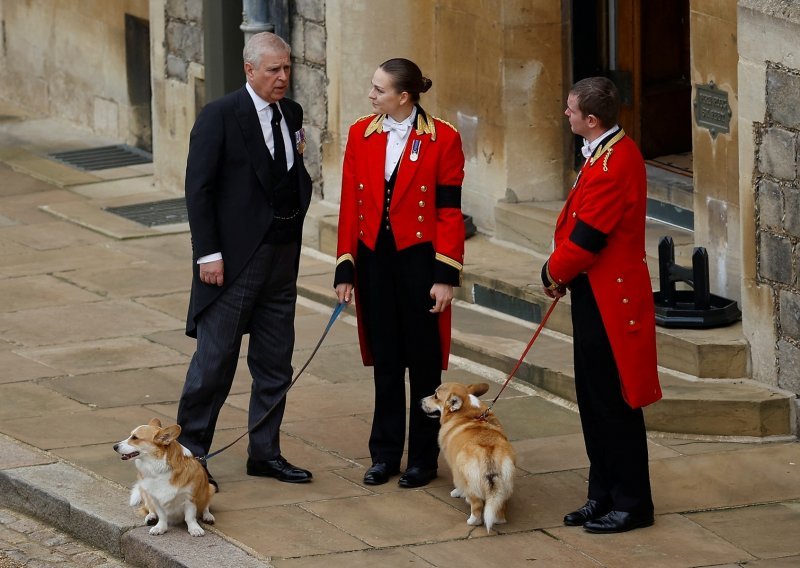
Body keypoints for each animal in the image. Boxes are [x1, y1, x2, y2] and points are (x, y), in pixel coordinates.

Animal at [422, 382, 516, 532]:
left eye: (436, 396)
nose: (421, 400)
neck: (467, 412)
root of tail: (489, 452)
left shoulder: (456, 469)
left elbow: (459, 486)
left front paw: (456, 493)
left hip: (470, 481)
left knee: (476, 504)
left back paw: (472, 520)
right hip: (504, 485)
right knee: (499, 507)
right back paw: (499, 520)